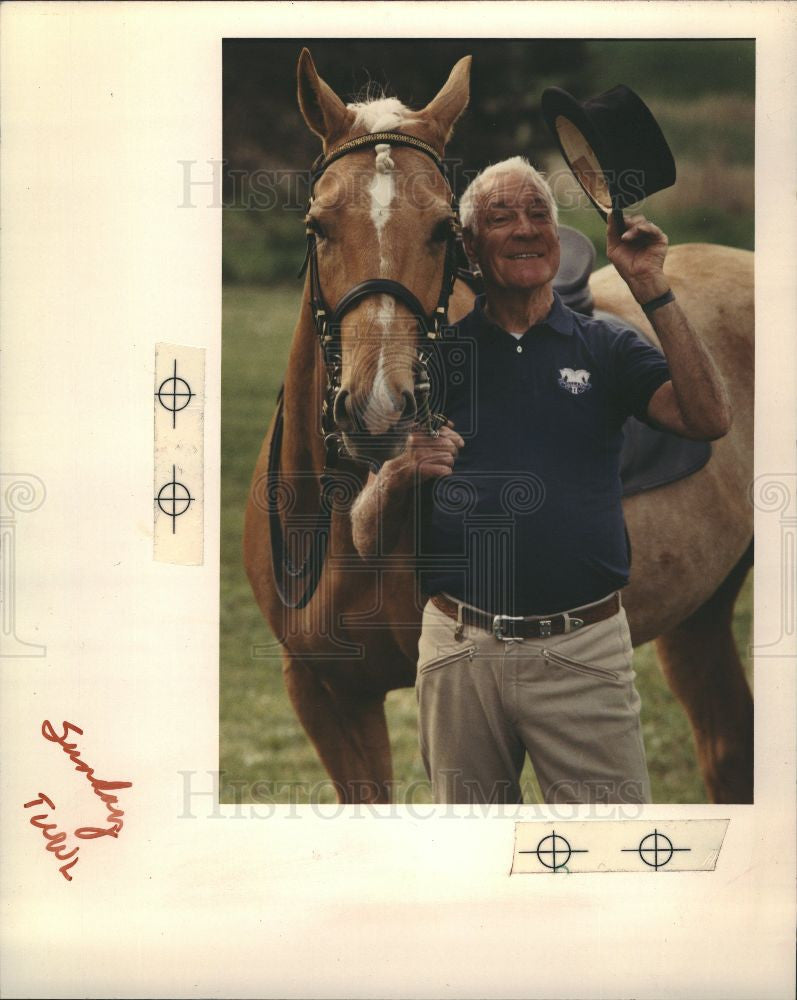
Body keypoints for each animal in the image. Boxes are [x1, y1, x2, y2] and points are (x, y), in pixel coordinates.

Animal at [243, 52, 752, 804]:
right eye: (316, 226)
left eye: (442, 230)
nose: (378, 409)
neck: (336, 519)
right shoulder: (325, 693)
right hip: (701, 609)